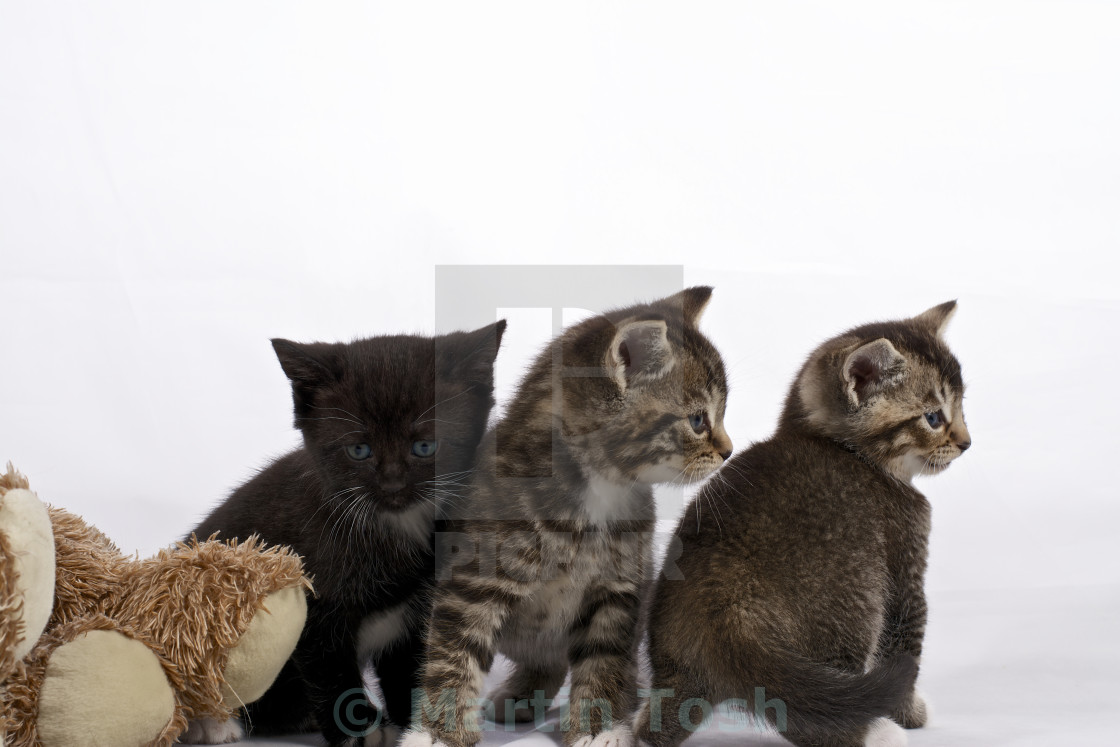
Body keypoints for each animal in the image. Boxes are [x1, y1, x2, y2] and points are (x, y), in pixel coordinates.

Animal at [184, 322, 508, 747]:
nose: (392, 485)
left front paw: (414, 726)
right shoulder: (312, 609)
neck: (395, 528)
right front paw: (359, 730)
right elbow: (331, 673)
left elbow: (411, 666)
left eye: (424, 446)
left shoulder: (420, 608)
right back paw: (209, 722)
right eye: (359, 450)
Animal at [403, 288, 734, 747]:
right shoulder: (473, 581)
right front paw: (437, 734)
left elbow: (604, 657)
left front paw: (598, 729)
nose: (729, 451)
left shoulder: (621, 586)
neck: (596, 492)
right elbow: (454, 654)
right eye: (699, 420)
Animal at [640, 302, 972, 747]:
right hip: (853, 600)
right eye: (934, 417)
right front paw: (910, 716)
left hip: (674, 664)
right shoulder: (905, 566)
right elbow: (905, 643)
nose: (967, 442)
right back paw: (877, 734)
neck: (845, 449)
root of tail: (721, 608)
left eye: (962, 408)